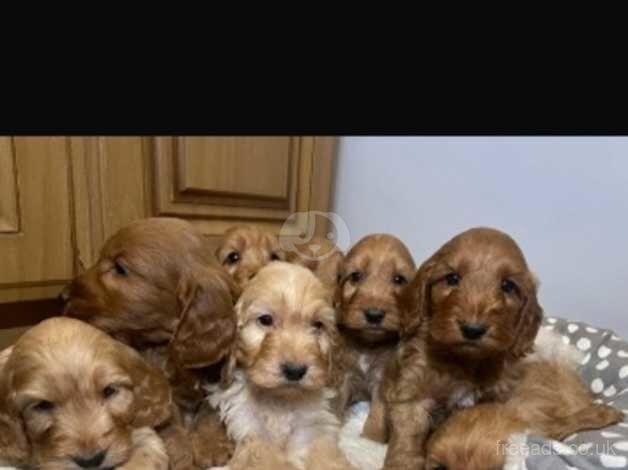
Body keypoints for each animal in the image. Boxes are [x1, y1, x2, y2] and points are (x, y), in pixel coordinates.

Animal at [63, 218, 237, 468]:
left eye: (120, 268)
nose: (62, 296)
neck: (167, 341)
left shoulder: (216, 374)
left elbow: (212, 407)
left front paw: (211, 444)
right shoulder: (156, 386)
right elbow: (169, 420)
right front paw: (181, 455)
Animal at [209, 262, 356, 468]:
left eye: (318, 325)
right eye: (265, 320)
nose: (295, 371)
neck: (280, 400)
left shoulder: (314, 430)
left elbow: (325, 458)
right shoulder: (253, 433)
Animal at [372, 226, 544, 468]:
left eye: (508, 286)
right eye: (452, 278)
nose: (473, 329)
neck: (464, 361)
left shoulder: (494, 398)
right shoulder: (413, 394)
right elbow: (407, 441)